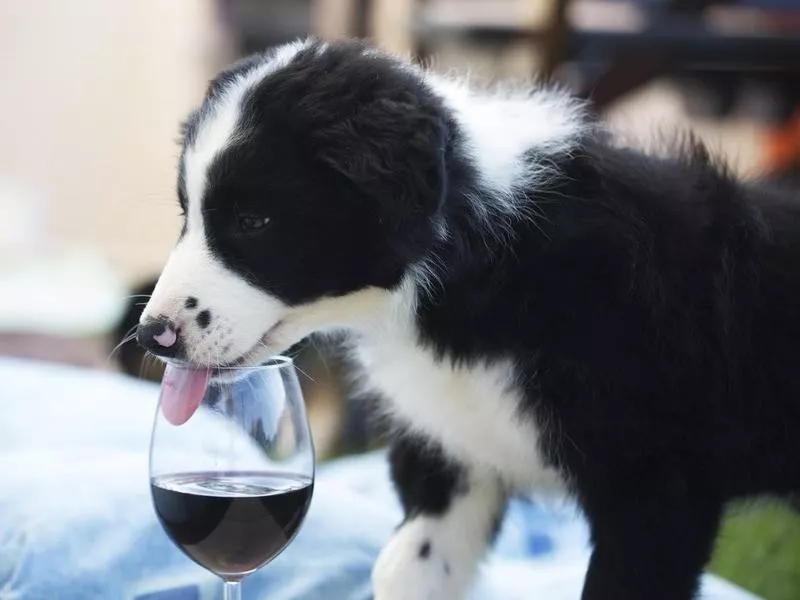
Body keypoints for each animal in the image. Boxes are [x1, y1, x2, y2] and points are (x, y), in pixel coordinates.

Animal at [139, 39, 800, 596]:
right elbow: (408, 570)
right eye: (186, 214)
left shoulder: (655, 491)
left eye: (253, 221)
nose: (153, 336)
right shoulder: (453, 453)